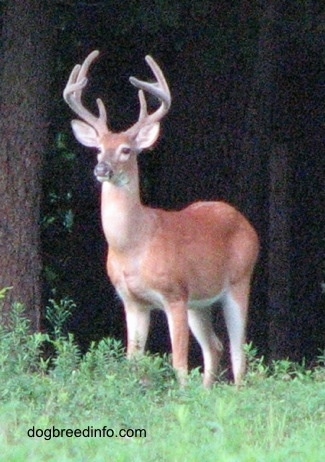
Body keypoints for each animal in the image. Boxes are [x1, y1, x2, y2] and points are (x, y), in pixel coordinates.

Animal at [62, 50, 258, 388]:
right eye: (98, 149)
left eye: (126, 150)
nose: (102, 169)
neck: (133, 245)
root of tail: (247, 224)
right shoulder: (132, 301)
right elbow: (132, 361)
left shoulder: (174, 293)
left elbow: (179, 363)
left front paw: (180, 394)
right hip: (200, 301)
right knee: (215, 346)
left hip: (238, 280)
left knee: (237, 351)